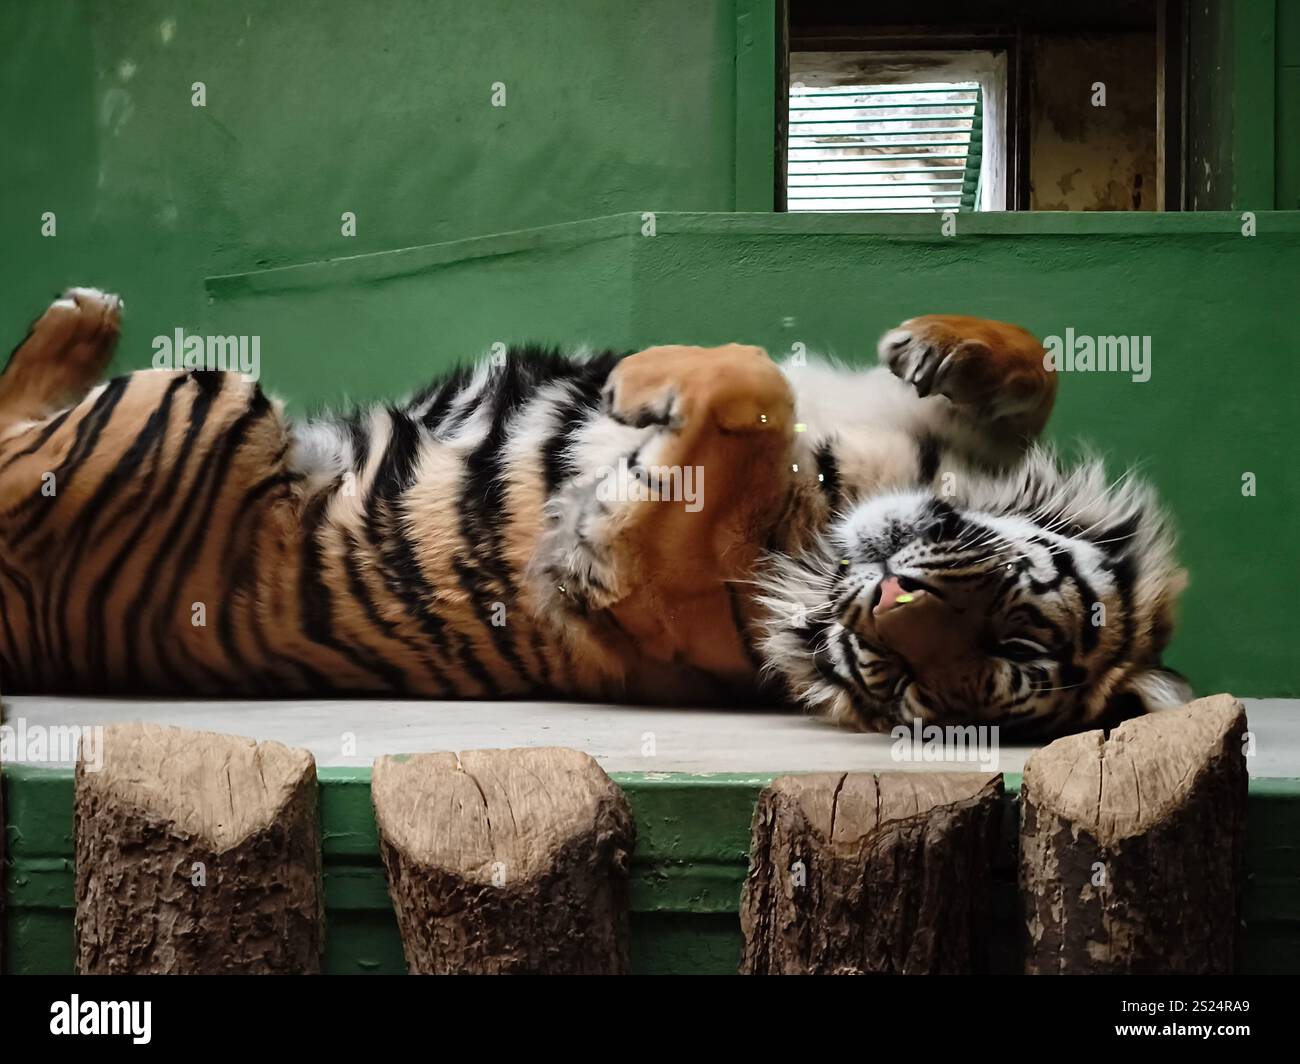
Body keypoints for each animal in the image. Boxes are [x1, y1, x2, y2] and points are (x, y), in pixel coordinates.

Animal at [0, 287, 1191, 737]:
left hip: (201, 399)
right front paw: (949, 347)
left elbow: (754, 388)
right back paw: (81, 317)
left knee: (12, 440)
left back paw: (78, 320)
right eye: (1017, 629)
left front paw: (639, 378)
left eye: (918, 687)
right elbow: (1034, 370)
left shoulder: (644, 553)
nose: (889, 599)